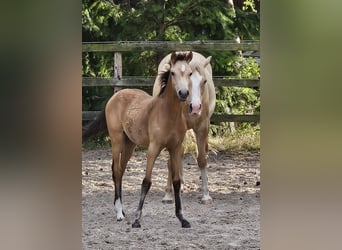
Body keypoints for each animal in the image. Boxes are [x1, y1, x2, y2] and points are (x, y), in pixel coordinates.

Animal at [83, 51, 194, 228]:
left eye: (190, 73)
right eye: (173, 73)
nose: (183, 93)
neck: (168, 114)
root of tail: (115, 97)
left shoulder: (176, 148)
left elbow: (176, 181)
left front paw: (182, 219)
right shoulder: (153, 148)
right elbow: (146, 182)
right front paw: (137, 219)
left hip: (130, 144)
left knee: (121, 170)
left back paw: (122, 211)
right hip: (116, 140)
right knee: (116, 170)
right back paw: (119, 213)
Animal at [153, 51, 216, 205]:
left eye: (204, 81)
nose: (195, 107)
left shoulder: (202, 128)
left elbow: (202, 160)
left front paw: (206, 195)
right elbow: (171, 162)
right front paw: (168, 194)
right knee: (178, 155)